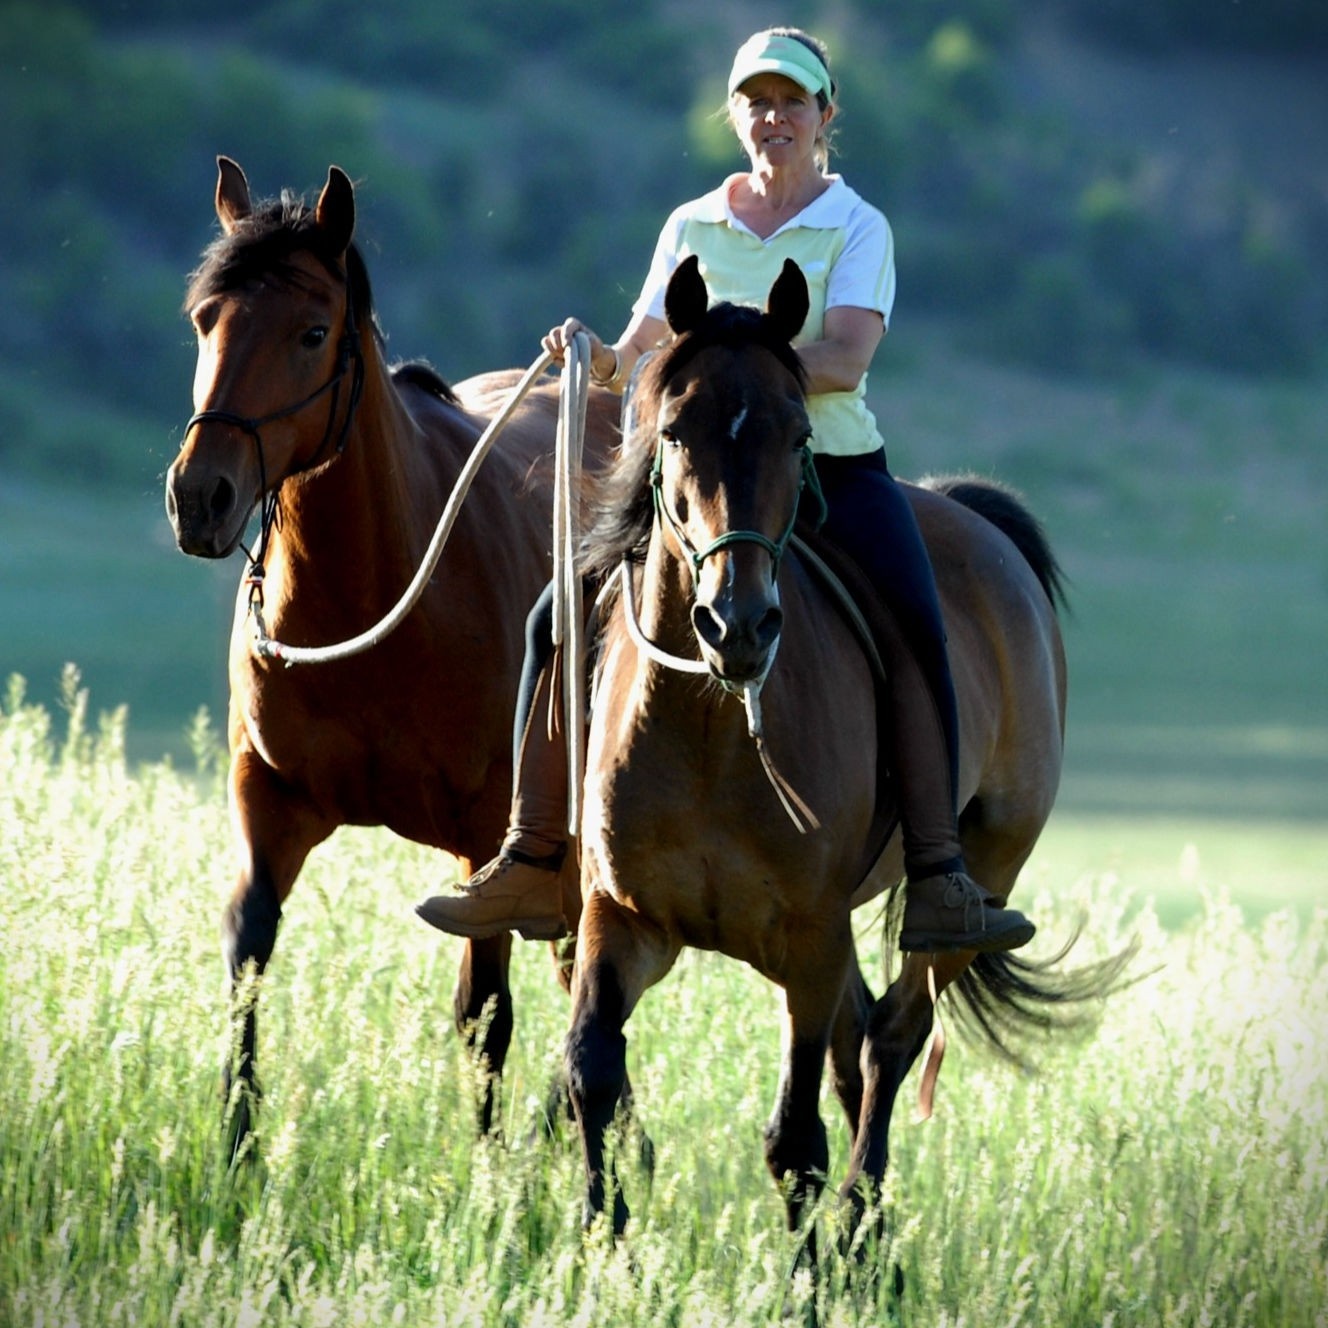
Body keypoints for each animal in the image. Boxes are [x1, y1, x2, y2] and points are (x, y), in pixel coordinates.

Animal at [165, 157, 619, 1159]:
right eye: (205, 319)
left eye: (311, 331)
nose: (200, 496)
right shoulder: (269, 799)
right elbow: (247, 951)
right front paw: (235, 1145)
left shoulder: (489, 840)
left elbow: (484, 1014)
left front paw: (493, 1175)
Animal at [564, 254, 1105, 1249]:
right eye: (674, 429)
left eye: (796, 434)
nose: (737, 624)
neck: (710, 729)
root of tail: (971, 515)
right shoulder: (623, 920)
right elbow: (592, 1070)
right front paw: (600, 1240)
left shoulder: (808, 941)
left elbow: (795, 1140)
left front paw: (812, 1267)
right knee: (865, 1048)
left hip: (986, 870)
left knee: (891, 1038)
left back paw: (863, 1235)